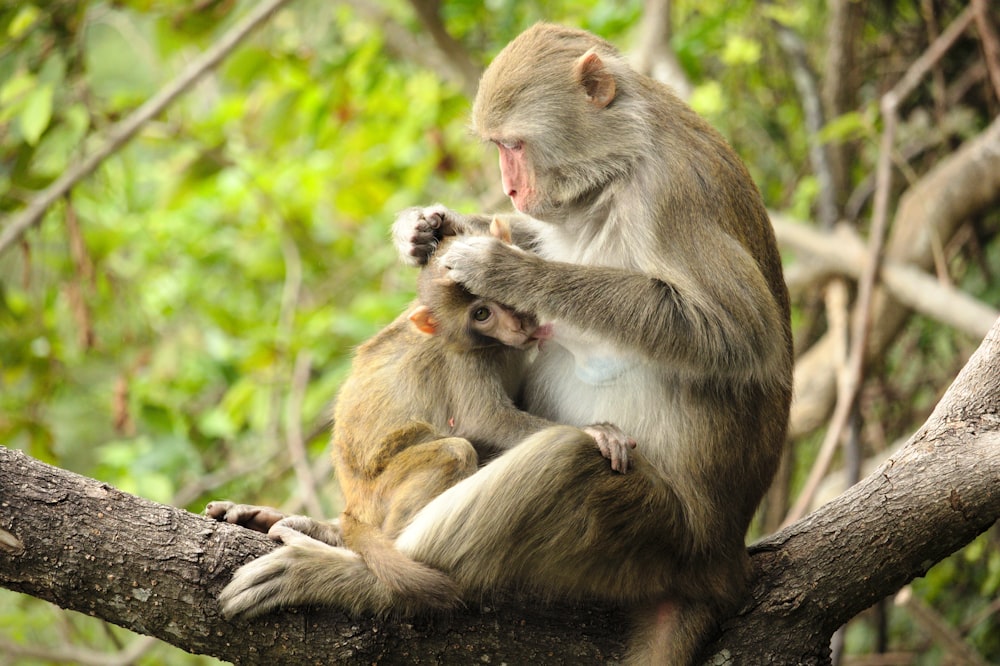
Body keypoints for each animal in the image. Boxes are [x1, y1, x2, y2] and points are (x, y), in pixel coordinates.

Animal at [219, 23, 788, 660]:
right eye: (496, 146)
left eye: (513, 144)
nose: (510, 189)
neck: (619, 166)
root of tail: (720, 564)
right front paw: (423, 228)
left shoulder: (668, 194)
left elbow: (737, 336)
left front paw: (502, 266)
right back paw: (324, 531)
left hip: (656, 537)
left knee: (564, 461)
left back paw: (355, 576)